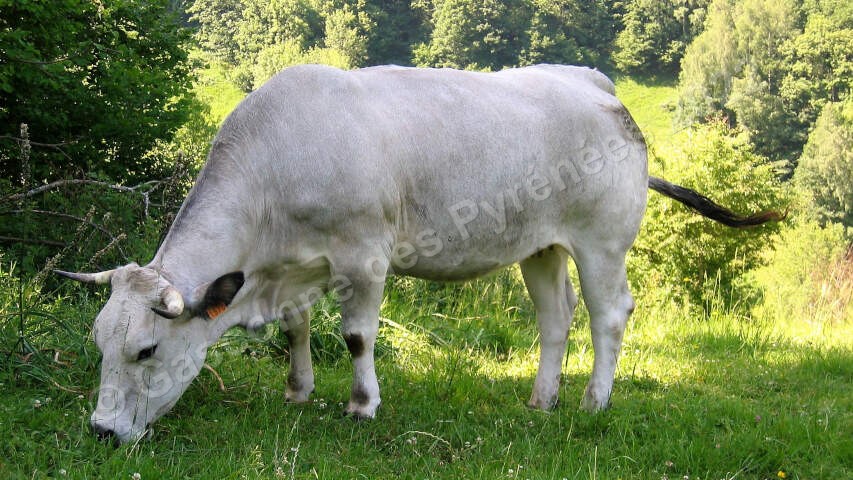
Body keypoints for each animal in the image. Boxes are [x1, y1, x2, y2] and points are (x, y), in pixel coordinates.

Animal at [56, 63, 784, 442]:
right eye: (99, 343)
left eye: (145, 350)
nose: (100, 429)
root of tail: (593, 84)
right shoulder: (294, 265)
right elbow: (296, 329)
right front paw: (297, 391)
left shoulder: (363, 255)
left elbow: (355, 336)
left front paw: (361, 405)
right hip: (541, 245)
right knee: (556, 318)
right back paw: (540, 400)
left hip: (600, 240)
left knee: (608, 314)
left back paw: (592, 403)